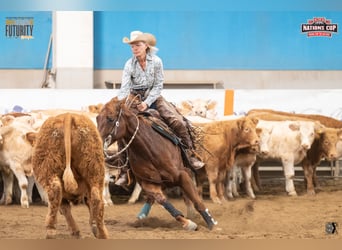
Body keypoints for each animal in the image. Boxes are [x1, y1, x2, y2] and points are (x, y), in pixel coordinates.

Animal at [96, 97, 216, 230]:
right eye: (97, 118)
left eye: (110, 118)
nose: (97, 141)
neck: (149, 150)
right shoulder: (149, 183)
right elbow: (163, 201)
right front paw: (188, 223)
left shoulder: (182, 175)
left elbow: (197, 200)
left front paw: (212, 224)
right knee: (151, 198)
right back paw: (142, 215)